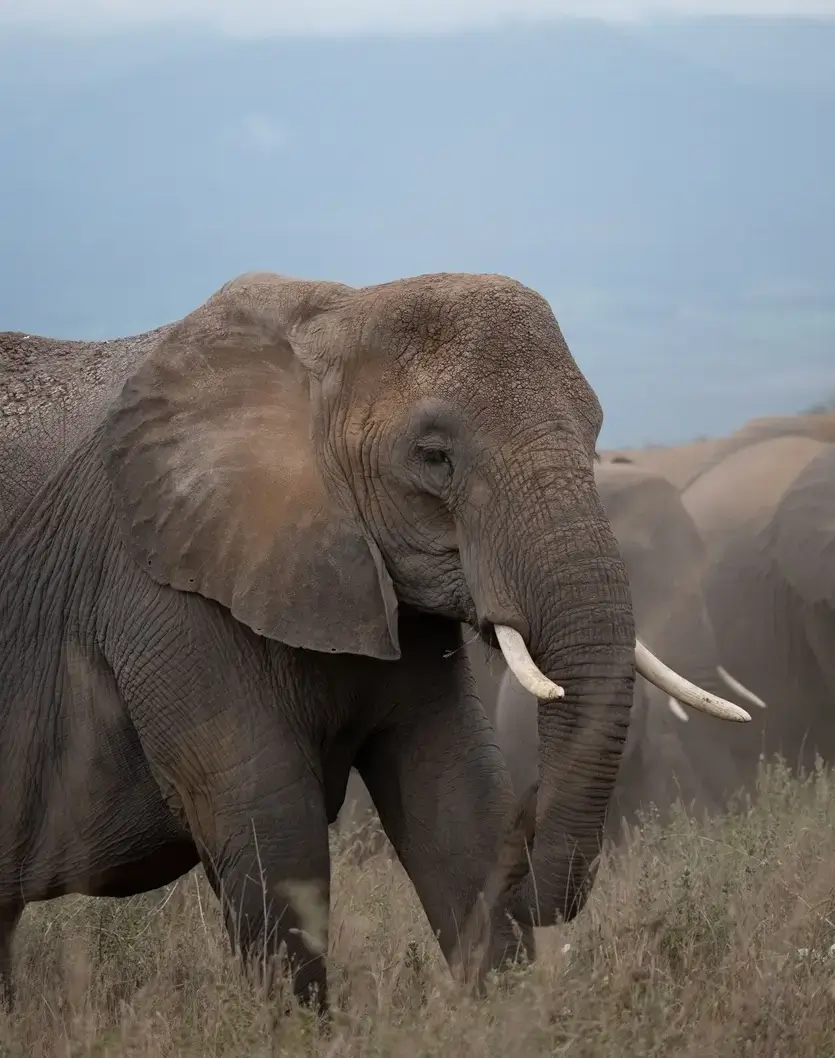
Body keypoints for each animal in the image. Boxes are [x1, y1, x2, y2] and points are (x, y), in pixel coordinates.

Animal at [0, 270, 748, 1012]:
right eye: (434, 456)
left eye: (594, 437)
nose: (530, 847)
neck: (332, 319)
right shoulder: (163, 591)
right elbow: (273, 829)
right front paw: (295, 1029)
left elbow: (456, 794)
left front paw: (502, 1016)